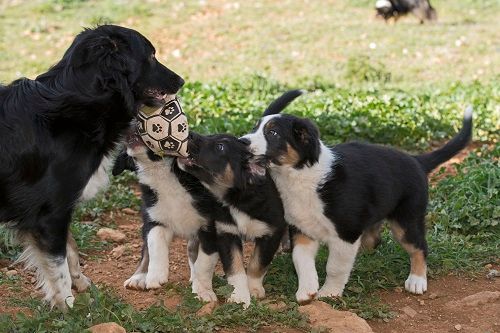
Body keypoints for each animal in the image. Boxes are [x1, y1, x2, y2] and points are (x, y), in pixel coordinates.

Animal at [0, 25, 185, 308]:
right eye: (151, 56)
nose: (181, 80)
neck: (80, 103)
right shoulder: (48, 212)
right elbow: (57, 264)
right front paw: (66, 304)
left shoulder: (58, 209)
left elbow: (70, 249)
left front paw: (80, 282)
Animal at [111, 134, 227, 302]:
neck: (161, 173)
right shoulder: (154, 218)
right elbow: (154, 243)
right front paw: (155, 275)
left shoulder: (210, 227)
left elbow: (204, 262)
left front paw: (203, 291)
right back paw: (139, 277)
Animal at [177, 131, 286, 308]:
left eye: (220, 147)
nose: (190, 133)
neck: (237, 199)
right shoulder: (226, 233)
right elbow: (235, 269)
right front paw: (239, 297)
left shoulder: (272, 232)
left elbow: (257, 263)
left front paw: (254, 289)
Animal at [242, 90, 472, 300]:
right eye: (254, 128)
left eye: (273, 133)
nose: (242, 141)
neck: (299, 176)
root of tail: (417, 160)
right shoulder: (303, 229)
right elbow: (301, 261)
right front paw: (306, 291)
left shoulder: (347, 233)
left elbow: (335, 266)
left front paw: (330, 292)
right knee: (374, 240)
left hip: (407, 219)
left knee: (419, 247)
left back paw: (416, 280)